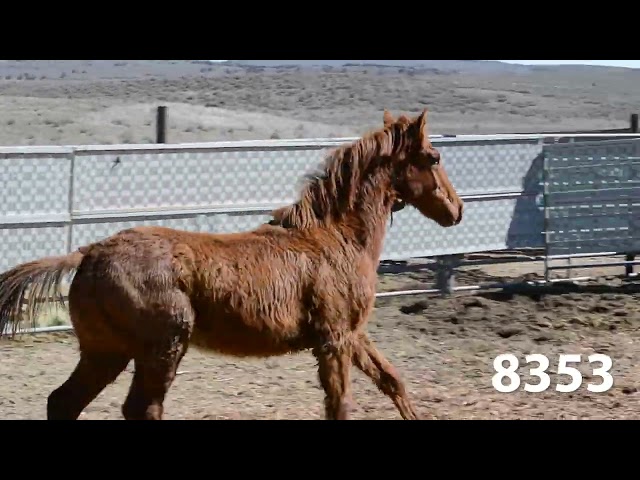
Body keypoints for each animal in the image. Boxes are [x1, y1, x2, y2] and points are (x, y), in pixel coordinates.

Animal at [0, 107, 464, 420]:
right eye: (434, 158)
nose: (457, 211)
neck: (337, 237)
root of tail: (89, 252)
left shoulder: (353, 334)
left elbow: (392, 382)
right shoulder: (333, 339)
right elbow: (341, 404)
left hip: (106, 351)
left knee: (64, 402)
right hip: (161, 347)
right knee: (141, 408)